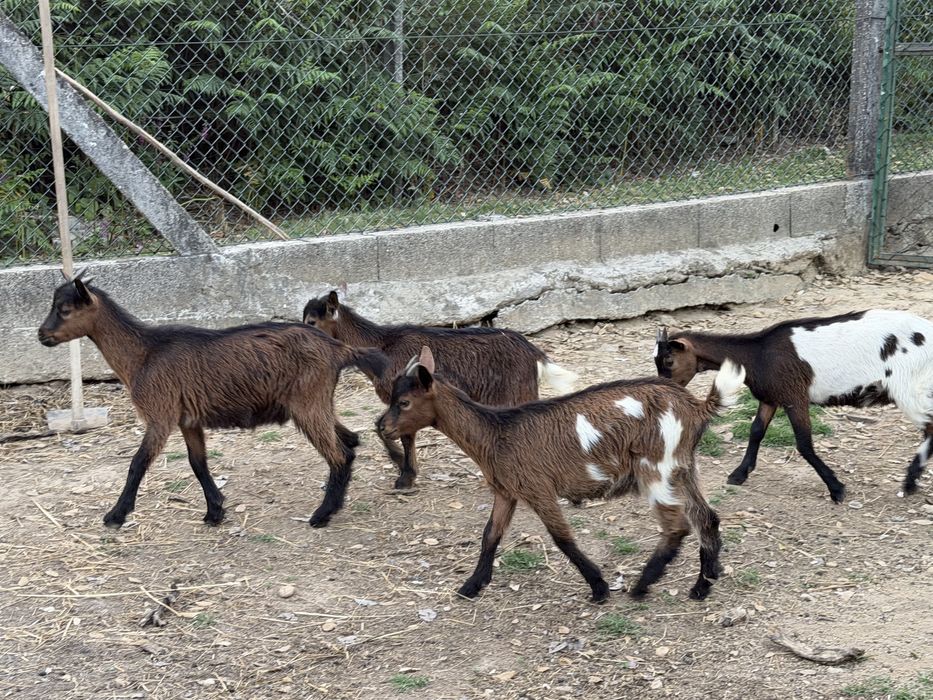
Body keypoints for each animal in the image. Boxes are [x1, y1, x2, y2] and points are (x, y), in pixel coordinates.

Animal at [38, 273, 387, 529]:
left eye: (65, 310)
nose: (42, 335)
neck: (145, 353)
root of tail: (337, 349)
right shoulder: (187, 420)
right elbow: (198, 463)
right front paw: (215, 511)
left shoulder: (160, 415)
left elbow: (138, 463)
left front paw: (116, 515)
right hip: (318, 403)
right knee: (350, 442)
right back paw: (337, 503)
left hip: (307, 403)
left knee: (339, 454)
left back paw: (322, 514)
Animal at [303, 290, 578, 489]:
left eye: (312, 321)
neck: (383, 345)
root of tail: (534, 354)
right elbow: (385, 425)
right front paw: (403, 468)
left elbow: (401, 433)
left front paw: (404, 474)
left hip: (517, 392)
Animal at [377, 345, 745, 602]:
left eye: (404, 402)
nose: (382, 426)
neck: (495, 432)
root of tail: (696, 407)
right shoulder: (506, 490)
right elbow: (490, 535)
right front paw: (471, 585)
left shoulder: (538, 488)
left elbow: (563, 538)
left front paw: (599, 588)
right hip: (682, 466)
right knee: (707, 517)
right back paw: (702, 586)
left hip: (656, 465)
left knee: (677, 526)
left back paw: (642, 586)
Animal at [653, 310, 933, 502]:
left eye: (669, 360)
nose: (663, 387)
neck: (757, 355)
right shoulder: (770, 397)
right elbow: (756, 431)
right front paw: (739, 474)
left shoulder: (794, 396)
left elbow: (804, 444)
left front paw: (837, 489)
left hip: (910, 388)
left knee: (930, 427)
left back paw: (909, 483)